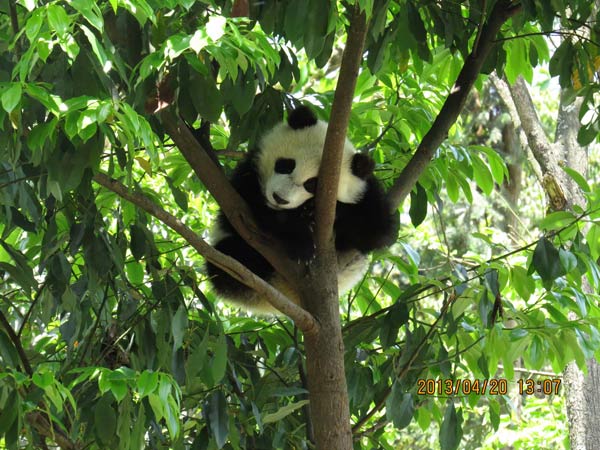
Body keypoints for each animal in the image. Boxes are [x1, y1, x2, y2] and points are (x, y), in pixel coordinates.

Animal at [206, 105, 398, 312]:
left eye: (311, 184)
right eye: (285, 165)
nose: (279, 198)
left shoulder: (367, 194)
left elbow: (378, 231)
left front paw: (318, 211)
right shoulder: (246, 177)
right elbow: (248, 210)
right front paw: (302, 244)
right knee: (228, 258)